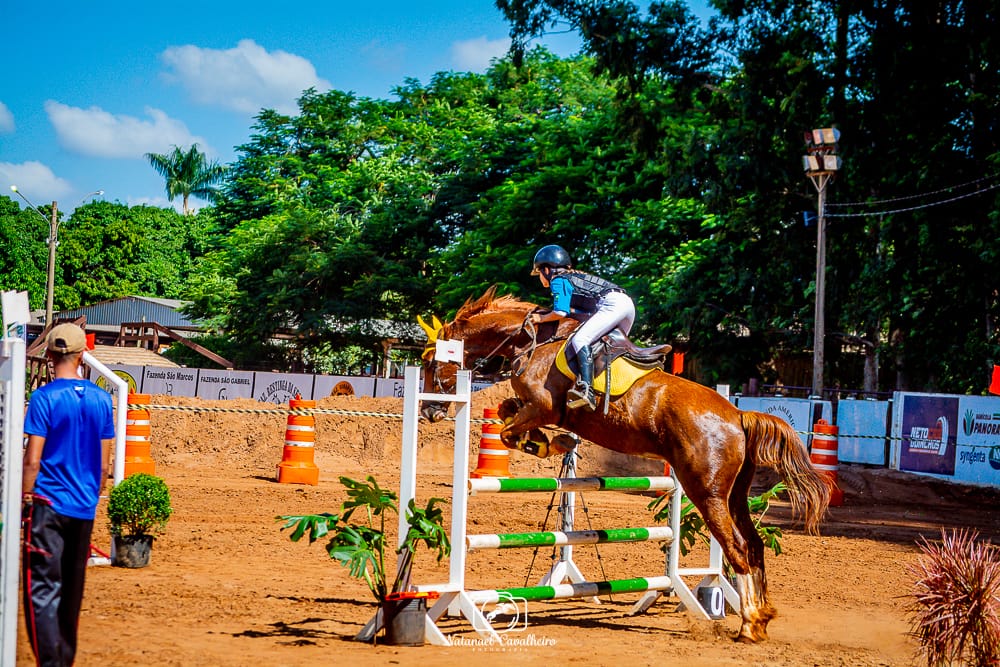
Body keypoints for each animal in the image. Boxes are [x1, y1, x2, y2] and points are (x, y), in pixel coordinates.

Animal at [418, 286, 832, 640]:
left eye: (431, 362)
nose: (429, 411)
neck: (532, 340)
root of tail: (737, 415)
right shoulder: (534, 408)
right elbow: (505, 412)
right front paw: (554, 441)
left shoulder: (542, 407)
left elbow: (507, 432)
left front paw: (548, 442)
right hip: (735, 496)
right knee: (755, 545)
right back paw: (761, 618)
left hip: (707, 493)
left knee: (738, 549)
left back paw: (747, 625)